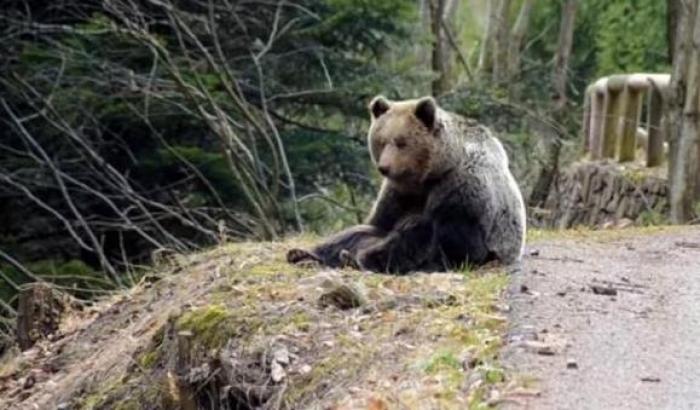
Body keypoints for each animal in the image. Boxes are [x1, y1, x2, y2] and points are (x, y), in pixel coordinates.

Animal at [287, 95, 526, 274]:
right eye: (382, 141)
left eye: (401, 142)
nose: (384, 167)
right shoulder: (399, 192)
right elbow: (379, 222)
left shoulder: (462, 187)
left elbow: (455, 240)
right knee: (357, 234)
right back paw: (303, 254)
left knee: (416, 235)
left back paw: (358, 259)